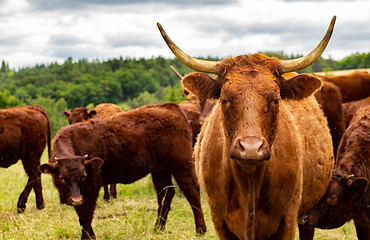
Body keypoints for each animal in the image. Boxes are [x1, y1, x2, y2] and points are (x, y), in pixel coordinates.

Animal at [39, 103, 207, 240]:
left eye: (84, 176)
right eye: (62, 178)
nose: (76, 199)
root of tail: (171, 107)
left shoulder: (92, 187)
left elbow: (85, 216)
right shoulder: (75, 194)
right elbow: (80, 214)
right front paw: (91, 236)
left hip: (181, 163)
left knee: (191, 190)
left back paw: (200, 229)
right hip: (160, 169)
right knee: (165, 193)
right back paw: (158, 228)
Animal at [158, 15, 336, 239]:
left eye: (276, 99)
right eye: (224, 99)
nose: (251, 148)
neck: (249, 183)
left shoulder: (288, 220)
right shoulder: (219, 220)